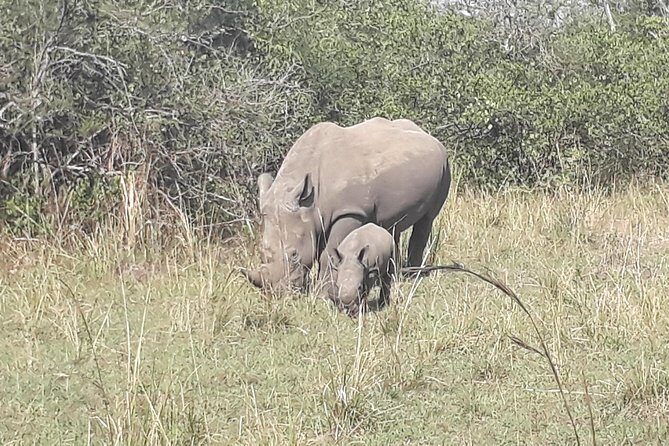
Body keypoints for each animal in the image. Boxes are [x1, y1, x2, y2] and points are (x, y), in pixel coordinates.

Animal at [243, 117, 451, 293]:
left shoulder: (349, 212)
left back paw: (413, 275)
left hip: (445, 166)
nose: (278, 292)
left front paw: (322, 293)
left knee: (427, 220)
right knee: (393, 227)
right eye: (261, 252)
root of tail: (428, 135)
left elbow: (328, 253)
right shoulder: (314, 217)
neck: (309, 202)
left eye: (294, 254)